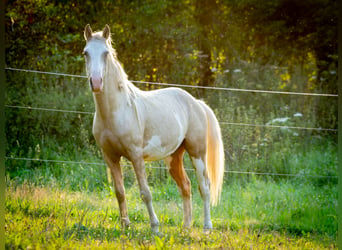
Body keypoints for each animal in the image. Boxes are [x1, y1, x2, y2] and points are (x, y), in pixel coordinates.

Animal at [83, 23, 224, 232]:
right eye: (86, 53)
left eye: (106, 53)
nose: (96, 82)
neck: (116, 112)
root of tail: (196, 102)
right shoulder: (110, 157)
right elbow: (119, 192)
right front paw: (125, 226)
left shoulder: (136, 156)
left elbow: (145, 192)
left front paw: (155, 227)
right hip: (173, 157)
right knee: (186, 186)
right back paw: (186, 226)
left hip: (197, 152)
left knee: (204, 186)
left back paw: (207, 226)